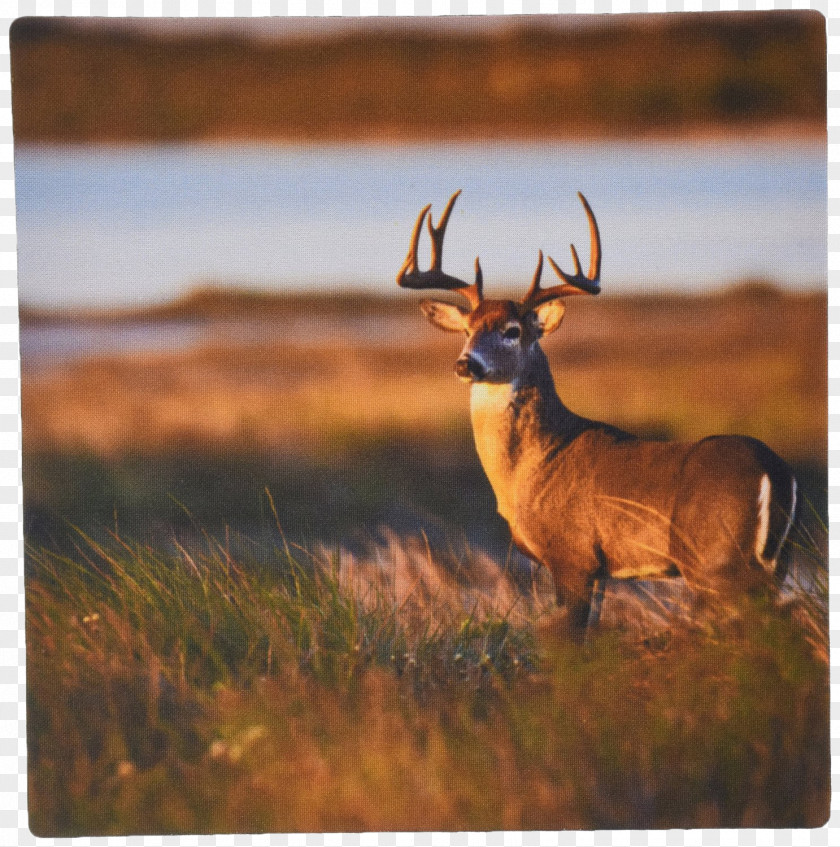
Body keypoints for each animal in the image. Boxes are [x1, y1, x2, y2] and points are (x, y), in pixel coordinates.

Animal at [398, 192, 796, 640]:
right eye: (467, 329)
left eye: (513, 330)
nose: (466, 364)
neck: (533, 467)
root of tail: (775, 471)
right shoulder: (601, 571)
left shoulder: (573, 556)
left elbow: (567, 640)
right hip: (773, 564)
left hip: (716, 561)